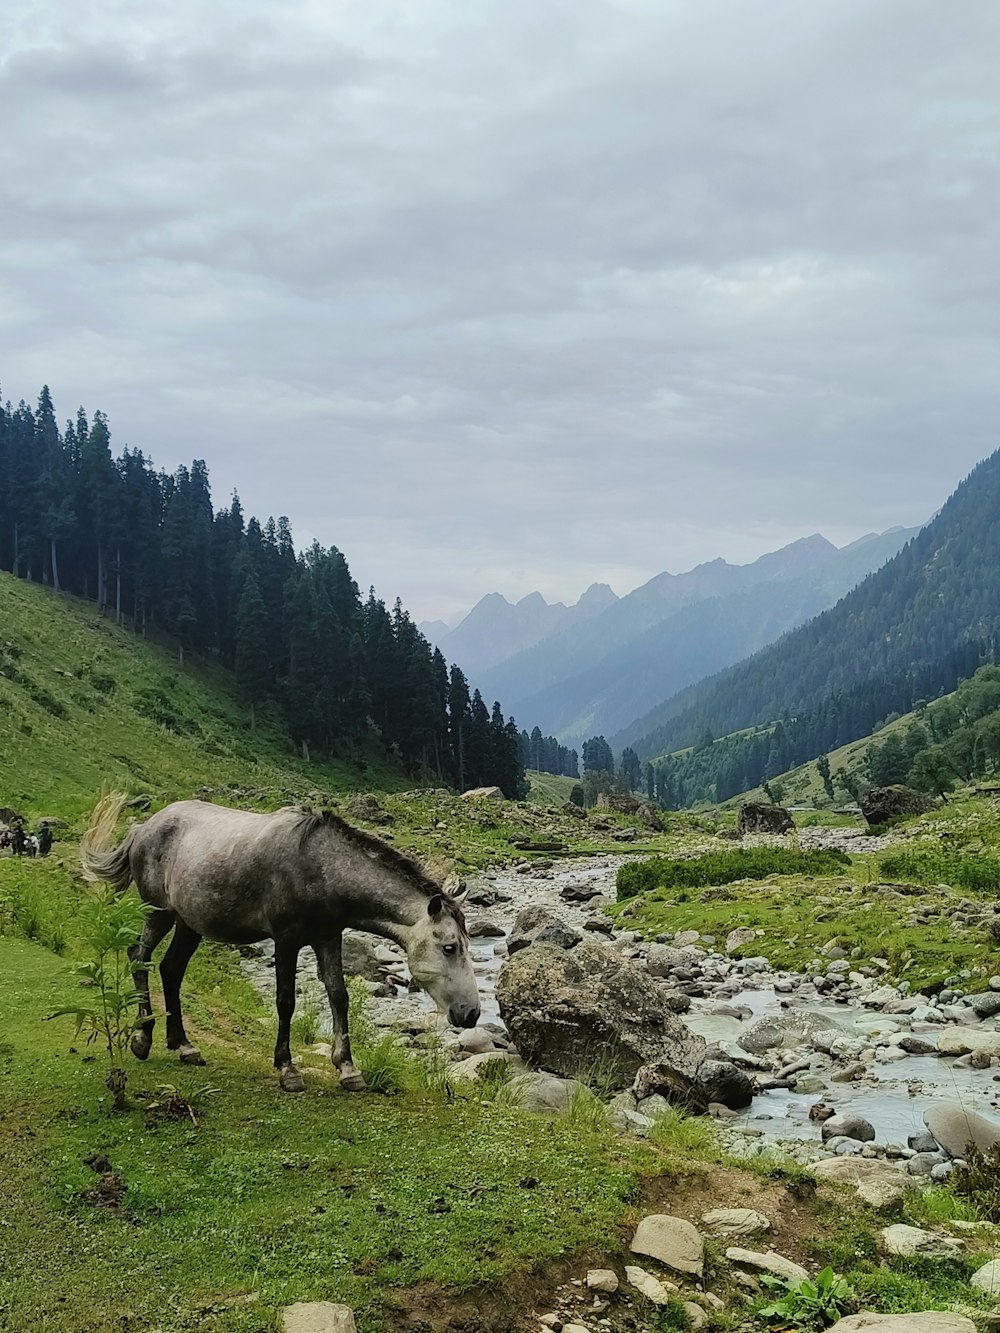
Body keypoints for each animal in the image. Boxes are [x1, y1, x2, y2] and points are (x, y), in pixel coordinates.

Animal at [82, 789, 482, 1093]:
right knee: (139, 956)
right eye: (449, 947)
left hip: (188, 923)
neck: (320, 868)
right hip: (158, 911)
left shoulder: (328, 937)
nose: (471, 1013)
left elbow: (339, 995)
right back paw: (142, 1039)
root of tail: (144, 827)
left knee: (170, 969)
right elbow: (286, 1001)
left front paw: (348, 1069)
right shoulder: (286, 939)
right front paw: (288, 1069)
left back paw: (184, 1046)